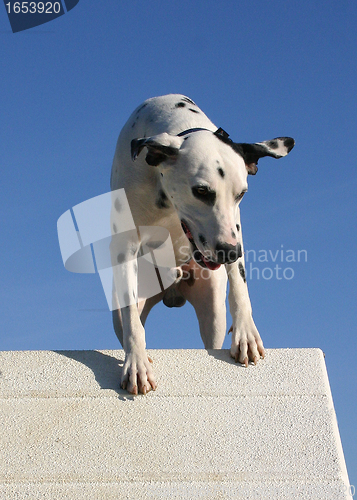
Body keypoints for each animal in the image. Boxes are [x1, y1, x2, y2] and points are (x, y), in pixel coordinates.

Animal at [110, 94, 294, 394]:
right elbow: (133, 325)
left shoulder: (235, 227)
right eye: (201, 191)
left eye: (241, 193)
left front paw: (246, 332)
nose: (229, 252)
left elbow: (240, 285)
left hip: (213, 311)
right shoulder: (125, 247)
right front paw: (136, 363)